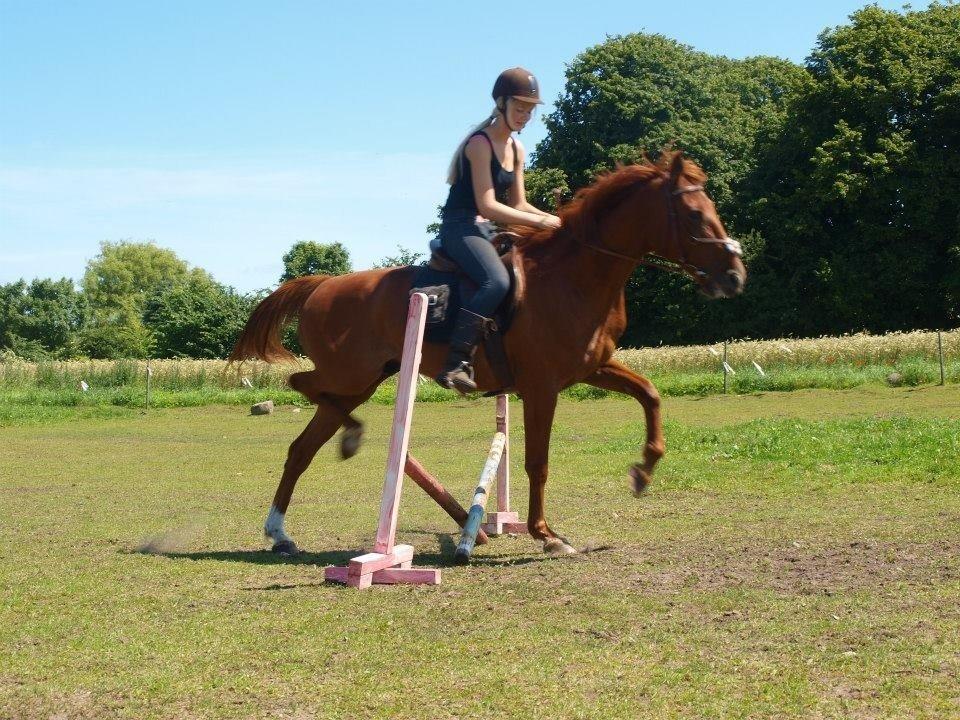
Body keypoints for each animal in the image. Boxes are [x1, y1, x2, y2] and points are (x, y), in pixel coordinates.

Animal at [232, 152, 752, 556]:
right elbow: (538, 461)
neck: (576, 276)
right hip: (352, 375)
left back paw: (282, 532)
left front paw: (644, 471)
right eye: (693, 215)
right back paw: (351, 443)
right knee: (302, 386)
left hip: (362, 379)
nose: (735, 276)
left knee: (302, 446)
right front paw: (547, 535)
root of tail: (322, 285)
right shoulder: (542, 387)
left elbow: (650, 394)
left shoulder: (593, 368)